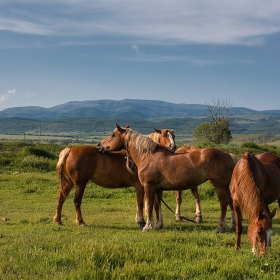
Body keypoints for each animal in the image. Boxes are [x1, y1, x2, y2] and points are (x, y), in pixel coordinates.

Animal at [97, 124, 235, 232]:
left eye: (113, 135)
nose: (99, 145)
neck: (148, 156)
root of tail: (229, 155)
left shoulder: (148, 186)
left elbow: (149, 206)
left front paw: (147, 226)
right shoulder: (157, 188)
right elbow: (157, 206)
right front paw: (158, 225)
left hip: (219, 186)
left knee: (223, 204)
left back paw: (220, 227)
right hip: (226, 187)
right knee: (231, 202)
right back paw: (232, 226)